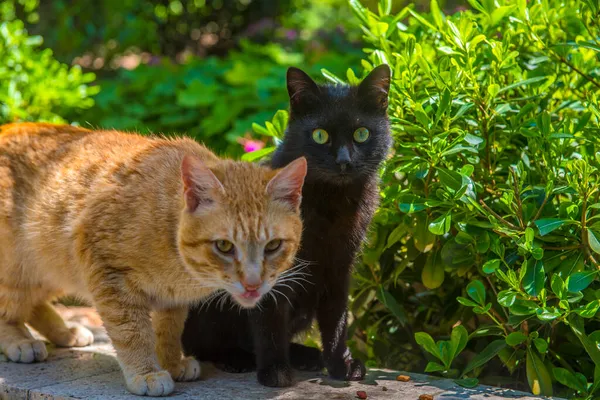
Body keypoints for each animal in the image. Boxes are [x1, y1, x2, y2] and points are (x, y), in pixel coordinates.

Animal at [0, 122, 308, 396]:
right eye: (224, 246)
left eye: (273, 246)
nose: (253, 284)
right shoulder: (109, 276)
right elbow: (132, 332)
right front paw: (145, 372)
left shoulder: (172, 299)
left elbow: (169, 330)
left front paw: (171, 362)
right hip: (19, 267)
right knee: (11, 309)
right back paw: (21, 341)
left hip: (53, 271)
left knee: (33, 303)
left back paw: (64, 332)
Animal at [180, 65, 392, 388]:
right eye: (320, 135)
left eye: (362, 133)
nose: (344, 161)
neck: (331, 202)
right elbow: (269, 318)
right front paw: (275, 370)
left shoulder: (341, 264)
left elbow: (337, 317)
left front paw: (340, 363)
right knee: (200, 342)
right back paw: (238, 358)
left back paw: (307, 355)